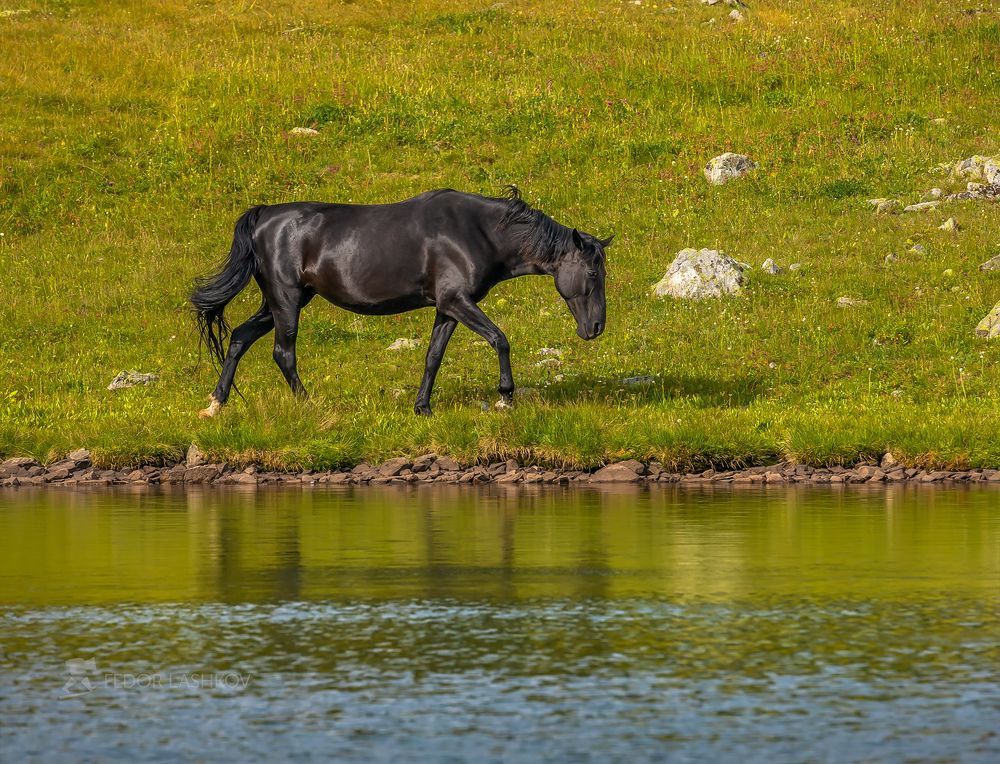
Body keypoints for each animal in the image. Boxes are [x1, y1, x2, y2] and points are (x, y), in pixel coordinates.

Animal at [191, 187, 610, 417]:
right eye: (593, 273)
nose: (595, 328)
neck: (477, 231)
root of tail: (264, 216)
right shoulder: (457, 301)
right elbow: (499, 339)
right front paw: (505, 398)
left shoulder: (447, 308)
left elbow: (433, 357)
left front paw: (422, 407)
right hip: (286, 301)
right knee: (283, 353)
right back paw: (307, 404)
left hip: (279, 303)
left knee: (239, 337)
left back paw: (215, 404)